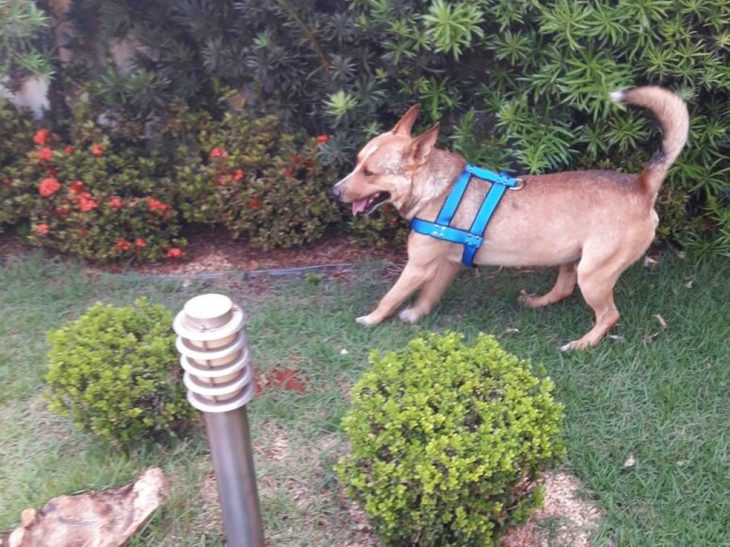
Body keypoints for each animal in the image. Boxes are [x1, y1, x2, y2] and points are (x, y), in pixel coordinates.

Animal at [332, 85, 684, 352]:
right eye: (357, 162)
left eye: (369, 172)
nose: (334, 191)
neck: (438, 188)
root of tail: (641, 184)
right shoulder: (445, 264)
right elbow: (429, 295)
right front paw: (417, 313)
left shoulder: (417, 267)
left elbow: (391, 296)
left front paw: (372, 319)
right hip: (573, 261)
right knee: (563, 290)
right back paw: (537, 302)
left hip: (593, 275)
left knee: (609, 315)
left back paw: (581, 344)